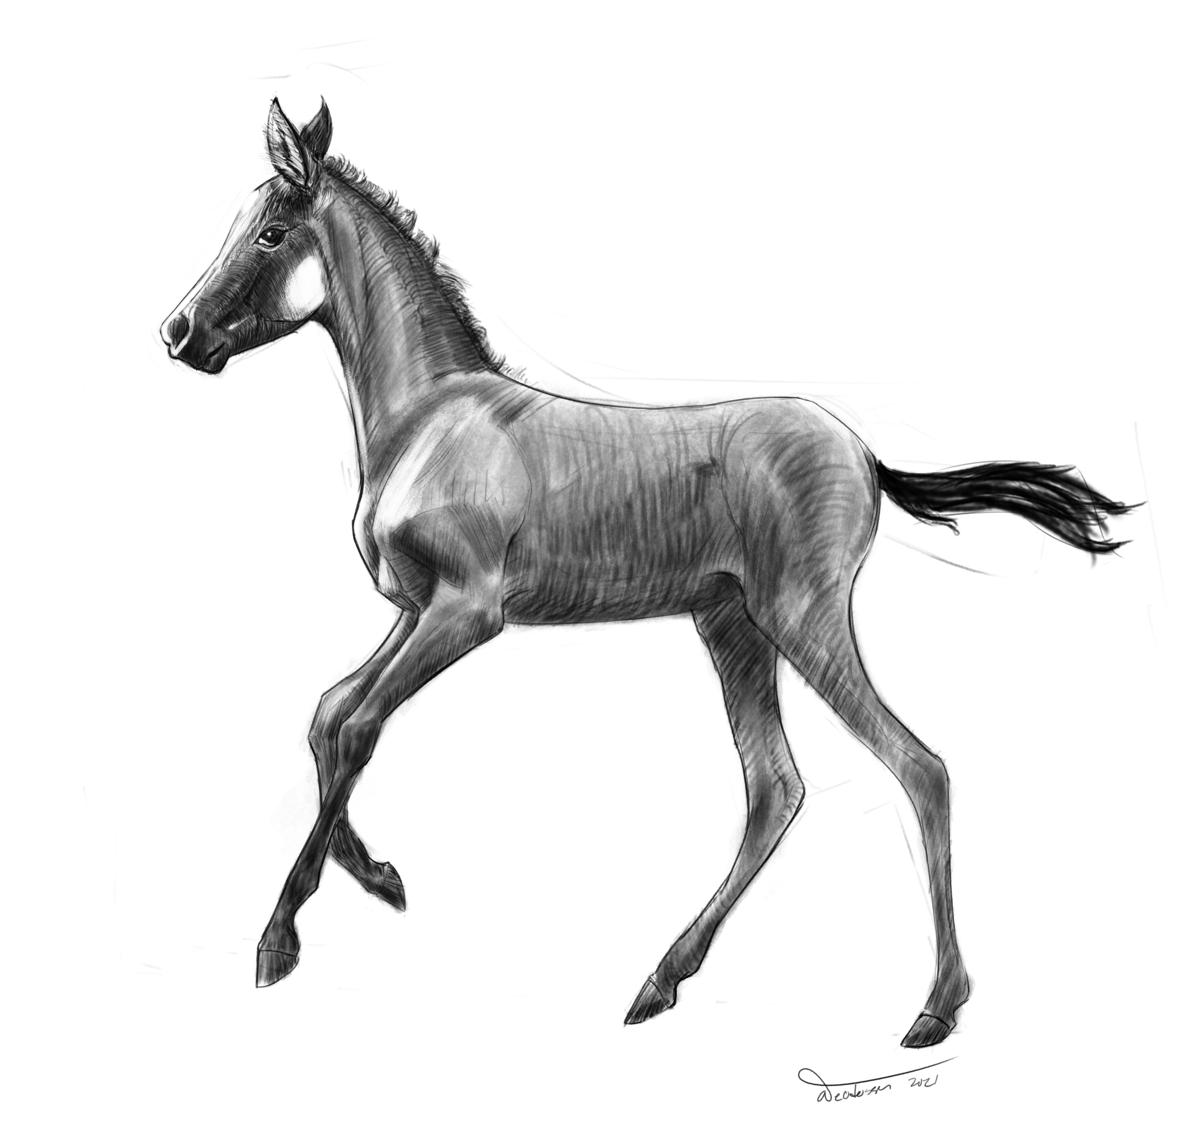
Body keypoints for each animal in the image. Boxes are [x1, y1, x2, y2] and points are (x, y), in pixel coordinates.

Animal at [161, 99, 1132, 1047]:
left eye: (271, 232)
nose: (177, 331)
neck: (431, 416)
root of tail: (864, 455)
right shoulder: (411, 610)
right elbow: (329, 715)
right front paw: (384, 877)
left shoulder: (466, 612)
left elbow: (359, 724)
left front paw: (278, 938)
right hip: (732, 626)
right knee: (775, 786)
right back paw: (661, 980)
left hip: (801, 619)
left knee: (919, 767)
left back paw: (934, 1008)